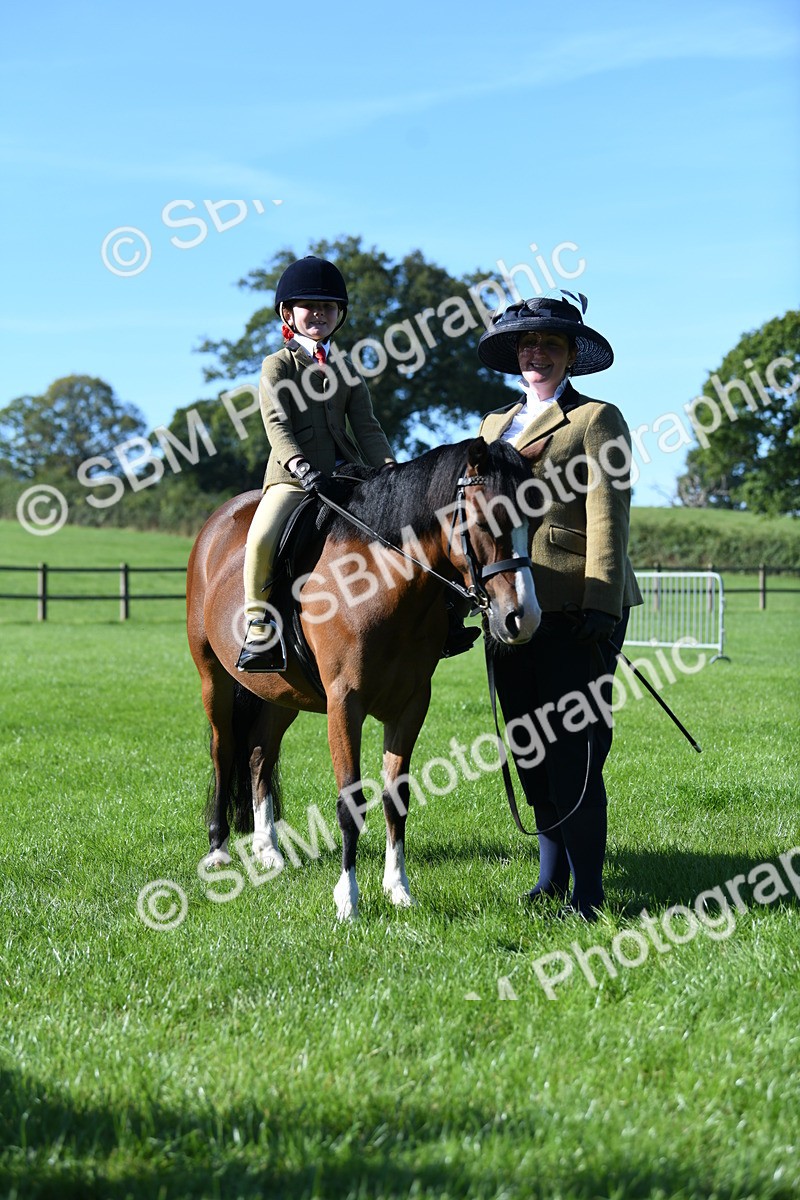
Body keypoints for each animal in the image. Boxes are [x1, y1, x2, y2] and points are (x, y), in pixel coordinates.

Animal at [186, 435, 541, 920]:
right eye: (487, 519)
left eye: (535, 521)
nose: (522, 618)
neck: (381, 582)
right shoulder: (345, 704)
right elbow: (351, 801)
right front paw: (348, 901)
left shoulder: (411, 704)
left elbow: (396, 797)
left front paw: (398, 890)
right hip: (215, 681)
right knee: (224, 752)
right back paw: (219, 850)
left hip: (282, 693)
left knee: (259, 753)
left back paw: (268, 849)